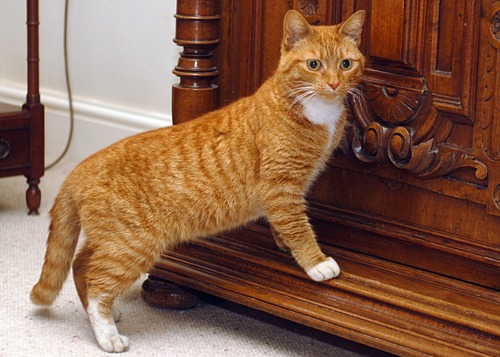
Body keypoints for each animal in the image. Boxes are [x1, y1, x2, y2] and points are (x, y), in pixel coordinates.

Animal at [32, 9, 368, 352]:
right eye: (313, 64)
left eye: (346, 64)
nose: (333, 83)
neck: (316, 110)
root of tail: (80, 168)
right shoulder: (281, 187)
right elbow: (299, 228)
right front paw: (315, 262)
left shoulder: (287, 193)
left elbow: (286, 224)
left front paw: (283, 243)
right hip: (130, 245)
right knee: (98, 282)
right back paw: (107, 333)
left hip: (110, 239)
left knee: (81, 265)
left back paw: (106, 312)